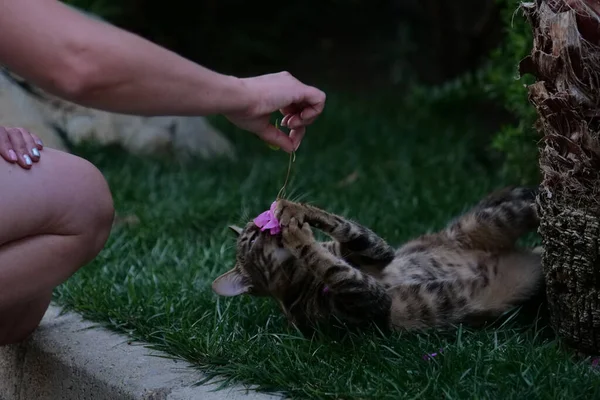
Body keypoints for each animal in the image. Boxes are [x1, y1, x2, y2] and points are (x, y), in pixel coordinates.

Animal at [213, 188, 548, 334]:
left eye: (254, 231)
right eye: (251, 241)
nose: (262, 227)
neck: (301, 277)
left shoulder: (375, 251)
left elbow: (345, 227)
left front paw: (293, 209)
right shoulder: (365, 299)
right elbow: (329, 263)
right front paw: (297, 233)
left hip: (484, 222)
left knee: (529, 204)